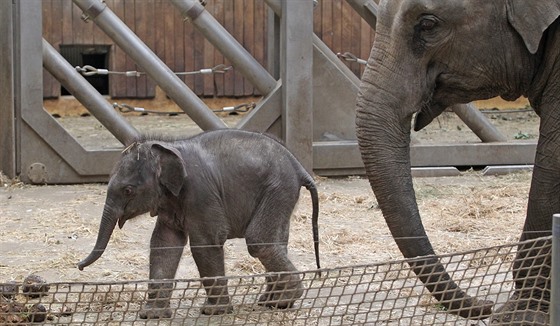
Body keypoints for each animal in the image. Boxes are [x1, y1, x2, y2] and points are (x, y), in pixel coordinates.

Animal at [76, 129, 320, 318]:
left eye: (128, 190)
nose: (79, 266)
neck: (169, 148)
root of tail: (299, 166)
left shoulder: (200, 193)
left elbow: (205, 243)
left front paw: (214, 312)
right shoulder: (170, 201)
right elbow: (164, 244)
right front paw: (152, 315)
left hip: (278, 188)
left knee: (259, 241)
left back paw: (282, 300)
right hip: (280, 193)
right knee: (276, 241)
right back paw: (271, 301)